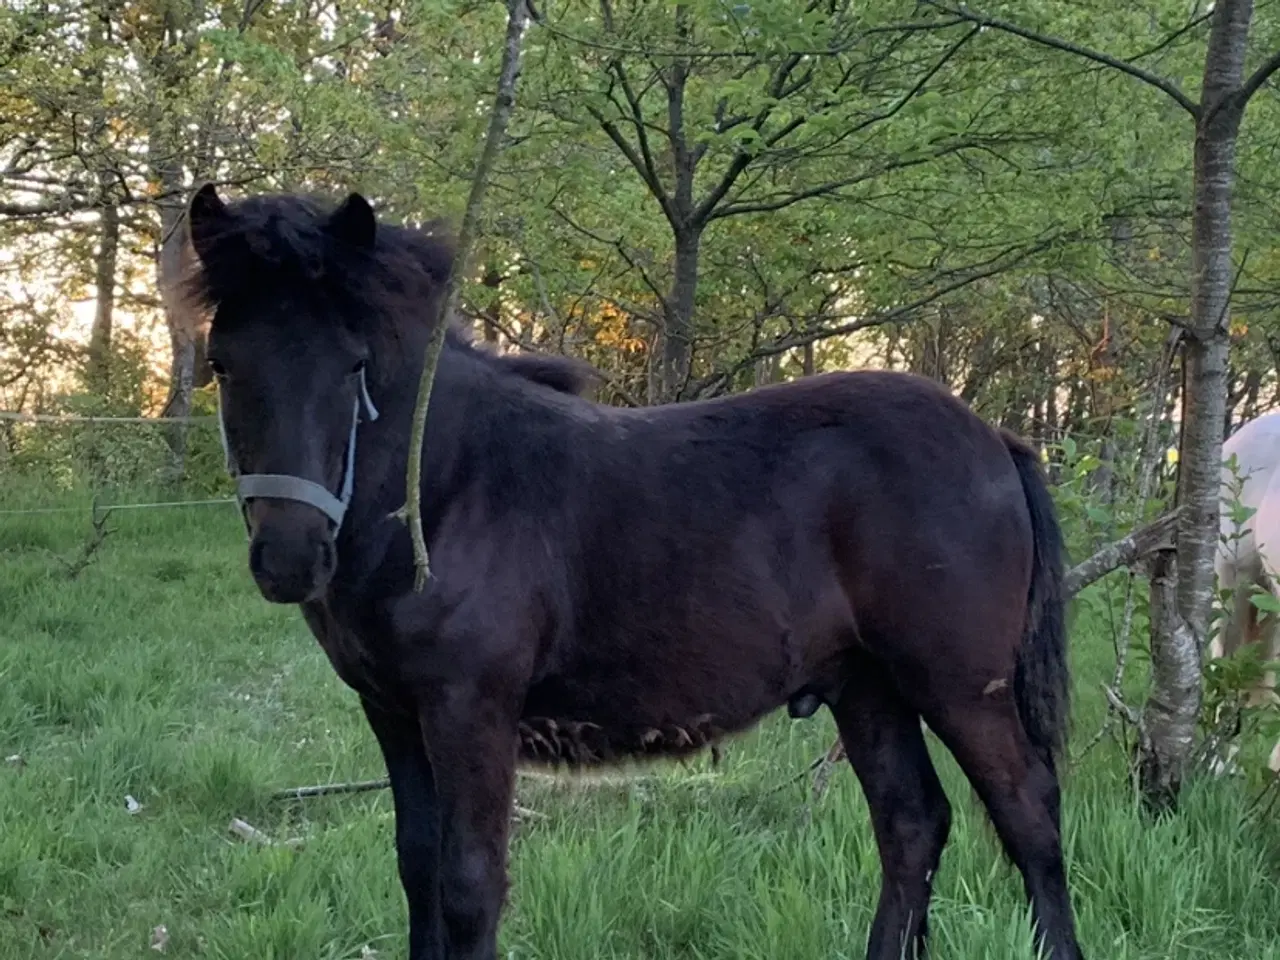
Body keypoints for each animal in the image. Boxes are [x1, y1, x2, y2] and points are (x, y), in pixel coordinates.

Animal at [185, 181, 1085, 960]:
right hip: (867, 686)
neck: (446, 489)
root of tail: (996, 440)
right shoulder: (394, 714)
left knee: (1029, 815)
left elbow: (470, 886)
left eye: (353, 363)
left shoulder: (471, 709)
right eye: (223, 362)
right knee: (911, 825)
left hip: (959, 685)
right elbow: (418, 870)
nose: (290, 556)